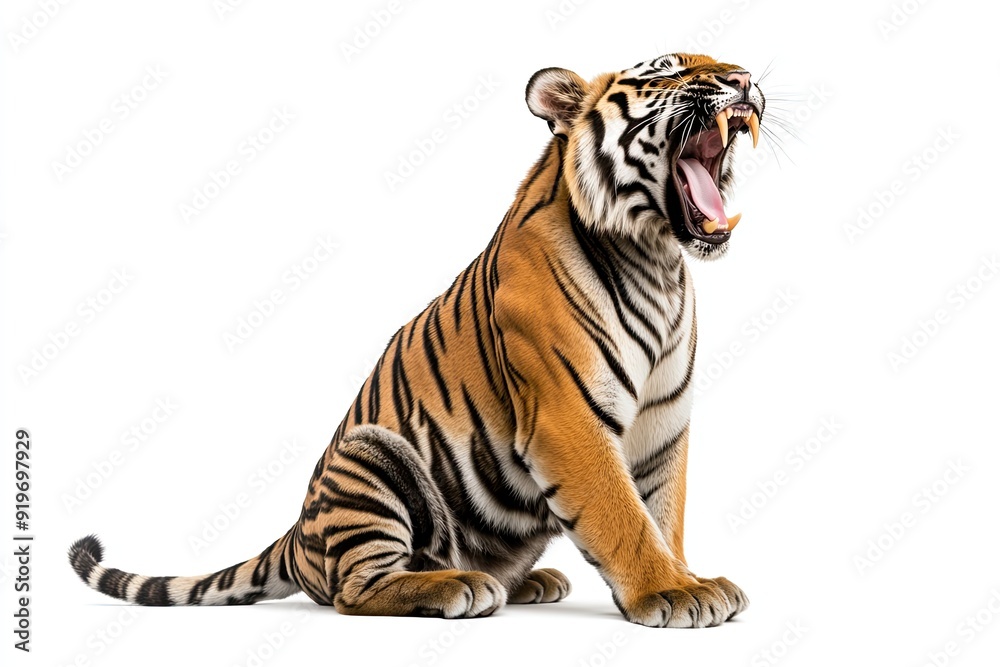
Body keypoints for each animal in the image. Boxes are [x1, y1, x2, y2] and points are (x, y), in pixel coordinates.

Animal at [70, 51, 766, 628]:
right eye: (670, 69)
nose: (744, 79)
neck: (657, 259)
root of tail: (297, 533)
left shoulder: (662, 422)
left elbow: (662, 513)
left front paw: (689, 578)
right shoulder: (567, 416)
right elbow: (624, 516)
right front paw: (669, 592)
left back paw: (523, 579)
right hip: (371, 460)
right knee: (353, 590)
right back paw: (455, 586)